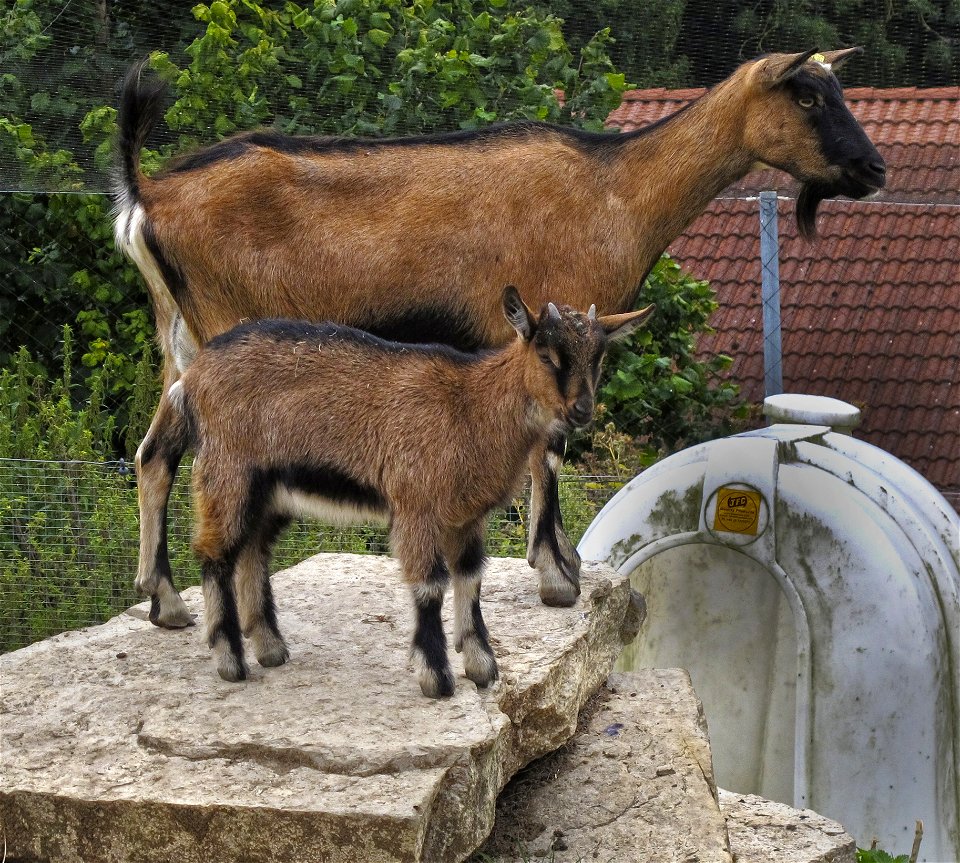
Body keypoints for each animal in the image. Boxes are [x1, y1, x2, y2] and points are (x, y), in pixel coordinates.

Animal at [112, 47, 884, 628]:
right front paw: (556, 575)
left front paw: (563, 564)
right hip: (226, 338)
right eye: (807, 94)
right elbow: (548, 450)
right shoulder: (543, 326)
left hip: (180, 342)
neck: (618, 192)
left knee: (152, 455)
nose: (874, 169)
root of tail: (147, 196)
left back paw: (165, 600)